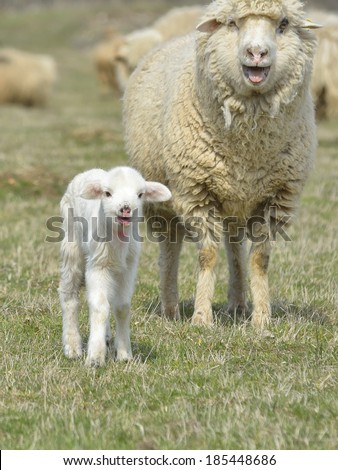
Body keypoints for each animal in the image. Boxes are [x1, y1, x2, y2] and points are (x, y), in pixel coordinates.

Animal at [57, 166, 172, 368]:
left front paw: (124, 354)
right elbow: (99, 307)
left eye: (140, 194)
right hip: (71, 244)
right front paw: (95, 357)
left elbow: (122, 307)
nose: (125, 209)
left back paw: (106, 337)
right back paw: (72, 346)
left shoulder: (128, 268)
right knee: (68, 294)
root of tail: (88, 171)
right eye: (107, 193)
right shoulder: (97, 266)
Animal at [123, 0, 322, 330]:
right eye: (231, 23)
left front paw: (261, 319)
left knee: (234, 247)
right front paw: (202, 318)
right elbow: (208, 255)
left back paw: (239, 303)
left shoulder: (276, 198)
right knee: (170, 250)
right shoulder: (196, 192)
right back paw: (170, 308)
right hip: (163, 201)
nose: (257, 52)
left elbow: (259, 260)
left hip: (236, 202)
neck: (248, 150)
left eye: (283, 24)